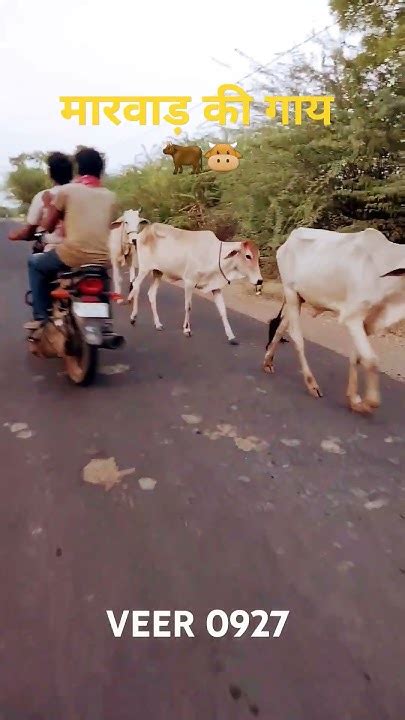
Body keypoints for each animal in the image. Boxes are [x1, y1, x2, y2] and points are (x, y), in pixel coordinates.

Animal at [128, 225, 264, 346]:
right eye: (248, 256)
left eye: (258, 256)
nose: (260, 280)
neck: (215, 256)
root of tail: (145, 231)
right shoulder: (189, 282)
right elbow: (188, 306)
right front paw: (187, 330)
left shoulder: (216, 287)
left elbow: (223, 311)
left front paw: (231, 336)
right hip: (144, 268)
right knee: (136, 285)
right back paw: (133, 317)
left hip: (158, 272)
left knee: (151, 294)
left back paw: (158, 324)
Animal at [262, 228, 404, 414]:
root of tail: (291, 237)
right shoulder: (352, 317)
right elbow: (371, 361)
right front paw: (368, 403)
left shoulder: (366, 324)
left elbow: (356, 357)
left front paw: (354, 399)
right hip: (290, 291)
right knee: (296, 337)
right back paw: (312, 384)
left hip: (298, 298)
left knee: (280, 327)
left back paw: (268, 361)